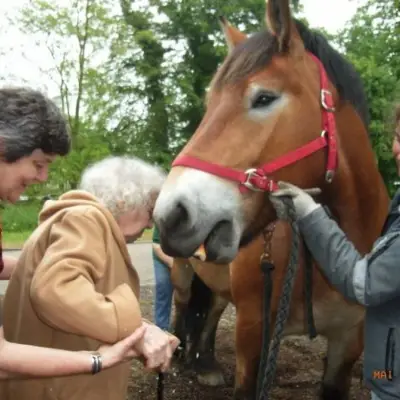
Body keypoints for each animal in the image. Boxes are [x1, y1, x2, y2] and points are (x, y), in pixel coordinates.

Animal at [154, 1, 390, 398]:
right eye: (210, 103)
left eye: (264, 98)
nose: (172, 214)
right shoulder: (254, 330)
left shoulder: (348, 342)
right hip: (183, 274)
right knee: (184, 309)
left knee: (212, 309)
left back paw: (206, 363)